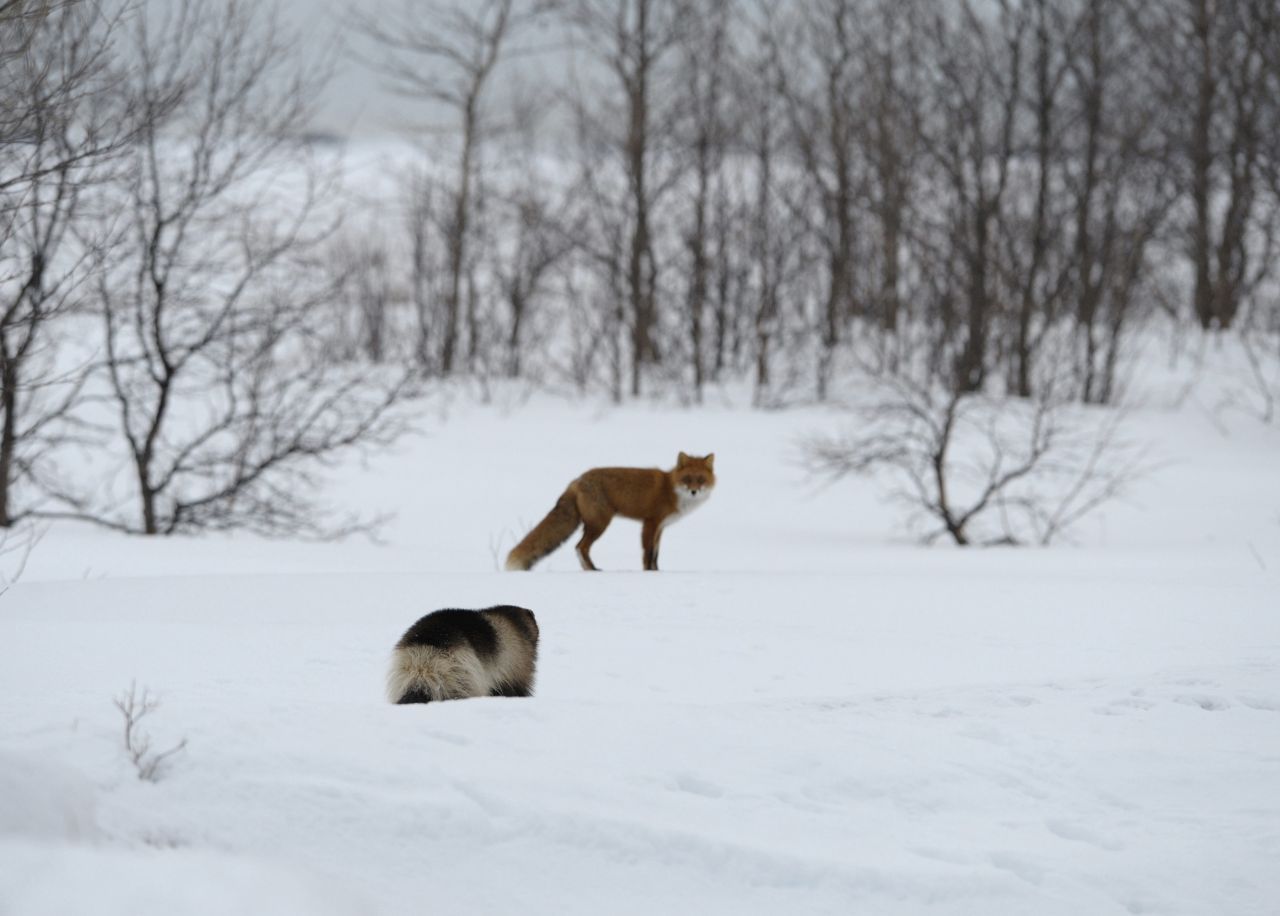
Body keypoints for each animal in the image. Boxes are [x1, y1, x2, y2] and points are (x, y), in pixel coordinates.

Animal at [504, 452, 716, 573]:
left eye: (701, 480)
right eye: (687, 479)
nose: (694, 492)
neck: (671, 490)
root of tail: (577, 480)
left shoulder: (660, 527)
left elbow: (656, 554)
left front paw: (657, 572)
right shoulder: (650, 522)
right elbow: (647, 554)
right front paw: (648, 573)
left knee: (578, 547)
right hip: (600, 524)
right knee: (580, 547)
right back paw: (592, 570)